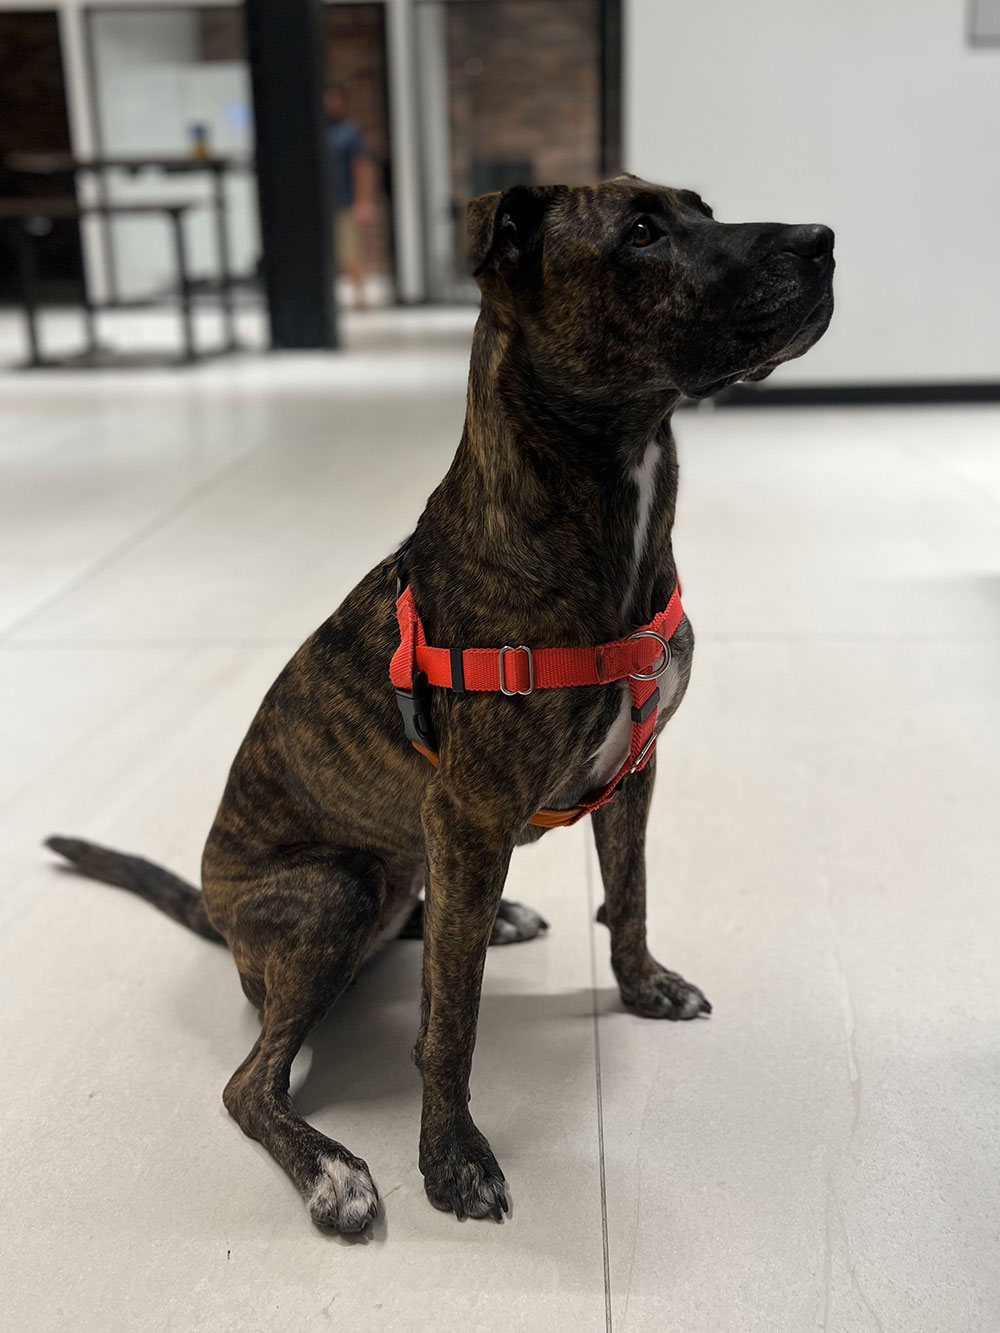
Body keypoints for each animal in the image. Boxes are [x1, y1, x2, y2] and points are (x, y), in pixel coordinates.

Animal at [51, 171, 842, 1231]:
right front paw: (451, 1156)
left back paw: (489, 920)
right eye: (641, 233)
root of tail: (216, 909)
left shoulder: (634, 773)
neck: (604, 510)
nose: (824, 241)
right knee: (250, 1079)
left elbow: (630, 894)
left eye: (701, 209)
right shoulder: (468, 813)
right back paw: (331, 1167)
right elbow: (450, 1023)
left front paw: (643, 986)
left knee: (421, 932)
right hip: (335, 888)